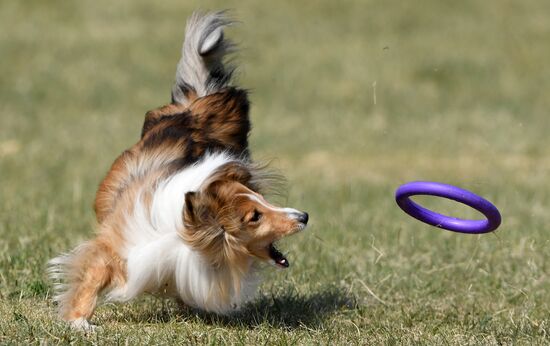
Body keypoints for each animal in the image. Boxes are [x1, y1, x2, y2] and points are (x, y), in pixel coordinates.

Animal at [48, 10, 310, 330]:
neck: (182, 228)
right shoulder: (117, 242)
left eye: (262, 200)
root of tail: (195, 103)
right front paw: (79, 322)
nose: (303, 216)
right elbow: (93, 276)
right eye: (254, 216)